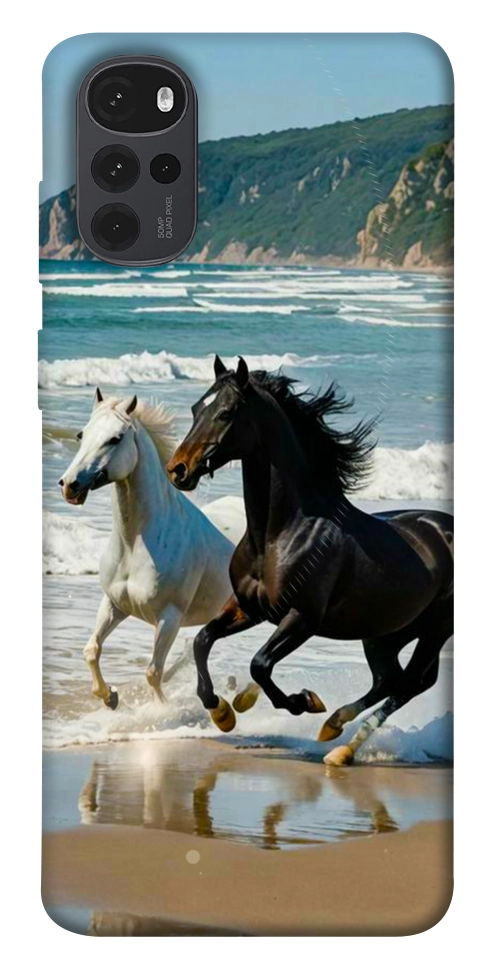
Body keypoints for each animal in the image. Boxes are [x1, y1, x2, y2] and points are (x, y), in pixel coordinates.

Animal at [59, 387, 234, 709]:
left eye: (115, 438)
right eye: (81, 434)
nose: (69, 485)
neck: (135, 544)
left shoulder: (169, 618)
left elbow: (153, 672)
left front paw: (161, 711)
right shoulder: (114, 604)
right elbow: (91, 650)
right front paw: (110, 697)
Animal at [166, 356, 453, 765]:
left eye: (225, 413)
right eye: (195, 409)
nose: (178, 470)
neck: (279, 534)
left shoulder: (302, 618)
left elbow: (260, 663)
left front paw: (303, 701)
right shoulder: (248, 608)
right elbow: (202, 641)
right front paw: (222, 712)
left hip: (434, 629)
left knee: (410, 683)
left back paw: (341, 747)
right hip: (385, 632)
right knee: (390, 679)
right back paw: (333, 728)